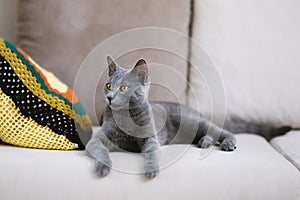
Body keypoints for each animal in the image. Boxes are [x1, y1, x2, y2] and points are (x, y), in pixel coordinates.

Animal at [85, 55, 292, 178]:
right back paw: (205, 142)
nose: (109, 97)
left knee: (223, 131)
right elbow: (100, 149)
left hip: (194, 121)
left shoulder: (151, 137)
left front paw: (151, 169)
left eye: (124, 88)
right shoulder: (99, 138)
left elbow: (152, 152)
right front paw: (103, 167)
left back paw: (226, 143)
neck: (126, 119)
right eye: (109, 86)